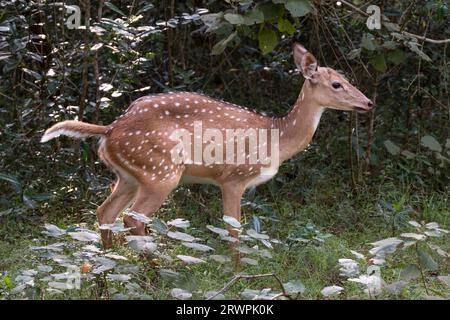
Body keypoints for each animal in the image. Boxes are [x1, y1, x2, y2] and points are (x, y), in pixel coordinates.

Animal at [41, 44, 372, 255]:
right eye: (337, 84)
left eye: (346, 79)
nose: (368, 102)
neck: (276, 136)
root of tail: (109, 130)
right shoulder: (234, 177)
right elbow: (234, 230)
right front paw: (237, 273)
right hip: (161, 172)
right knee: (133, 218)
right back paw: (151, 271)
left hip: (129, 176)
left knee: (105, 211)